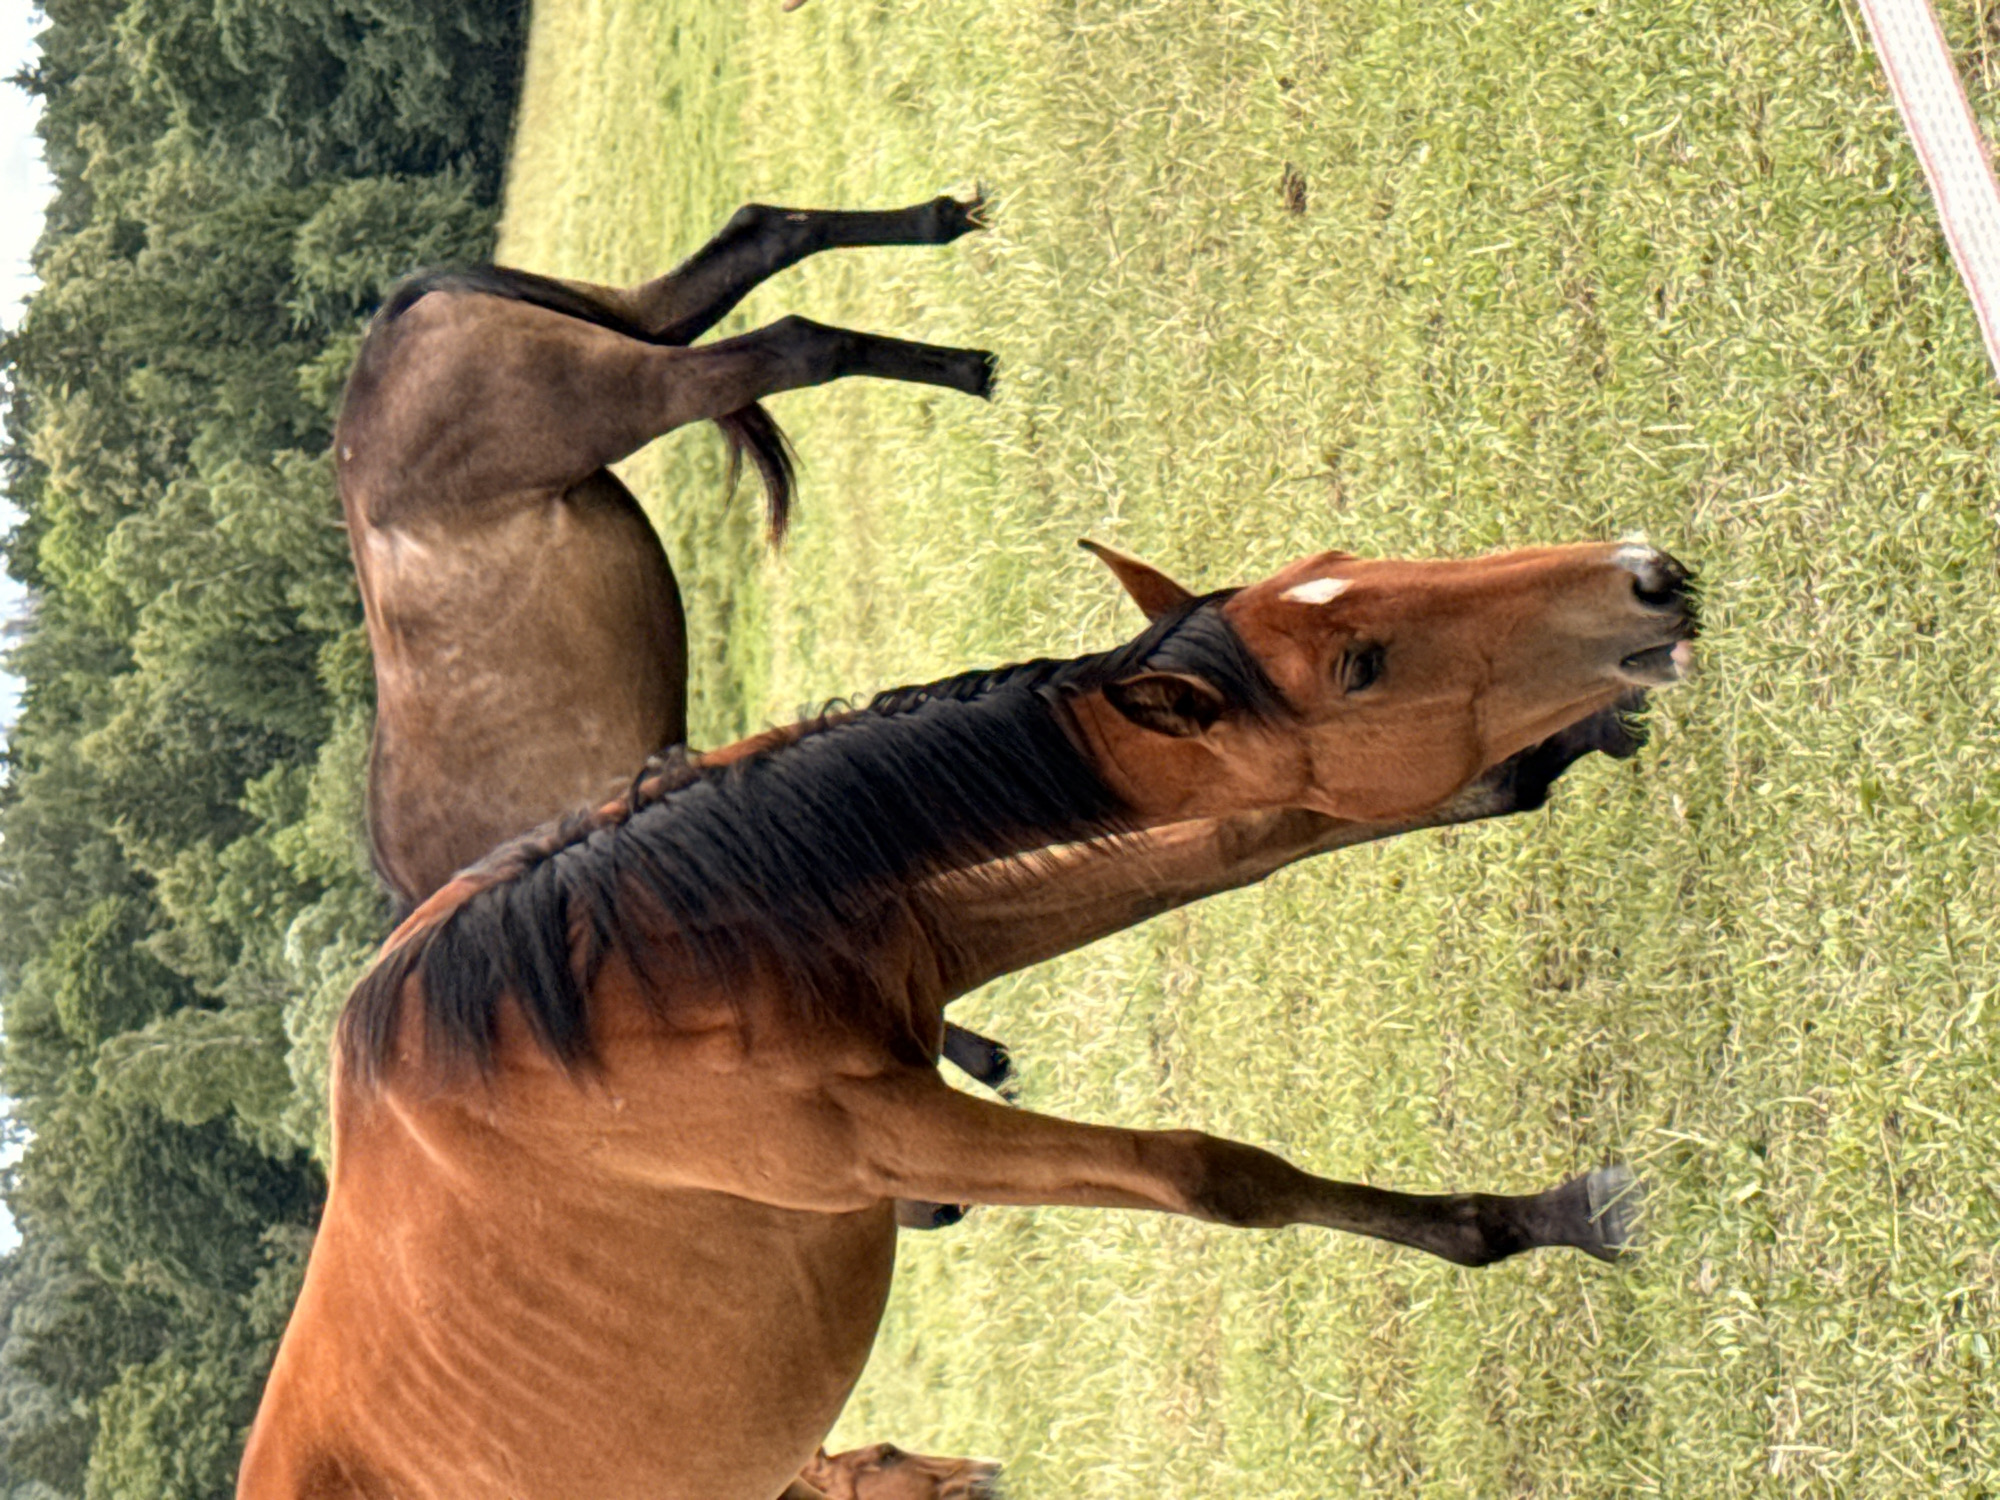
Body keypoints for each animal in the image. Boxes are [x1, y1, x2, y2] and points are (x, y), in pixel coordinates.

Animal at [238, 533, 1695, 1499]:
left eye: (1357, 562)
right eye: (1360, 664)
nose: (1645, 575)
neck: (627, 989)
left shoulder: (923, 946)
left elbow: (1254, 841)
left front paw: (1544, 754)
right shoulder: (890, 1140)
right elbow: (1214, 1177)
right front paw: (1546, 1218)